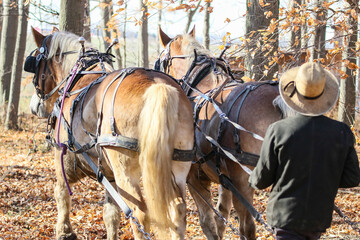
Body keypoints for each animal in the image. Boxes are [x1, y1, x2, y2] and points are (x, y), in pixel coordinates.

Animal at [26, 27, 195, 239]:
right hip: (177, 167)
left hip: (125, 170)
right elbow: (111, 213)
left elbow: (61, 193)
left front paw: (64, 231)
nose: (34, 106)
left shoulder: (62, 156)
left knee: (139, 215)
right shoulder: (109, 174)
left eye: (35, 64)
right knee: (177, 212)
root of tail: (158, 86)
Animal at [158, 27, 290, 239]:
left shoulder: (195, 179)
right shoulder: (224, 180)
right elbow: (222, 215)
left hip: (242, 183)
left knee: (247, 228)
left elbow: (208, 223)